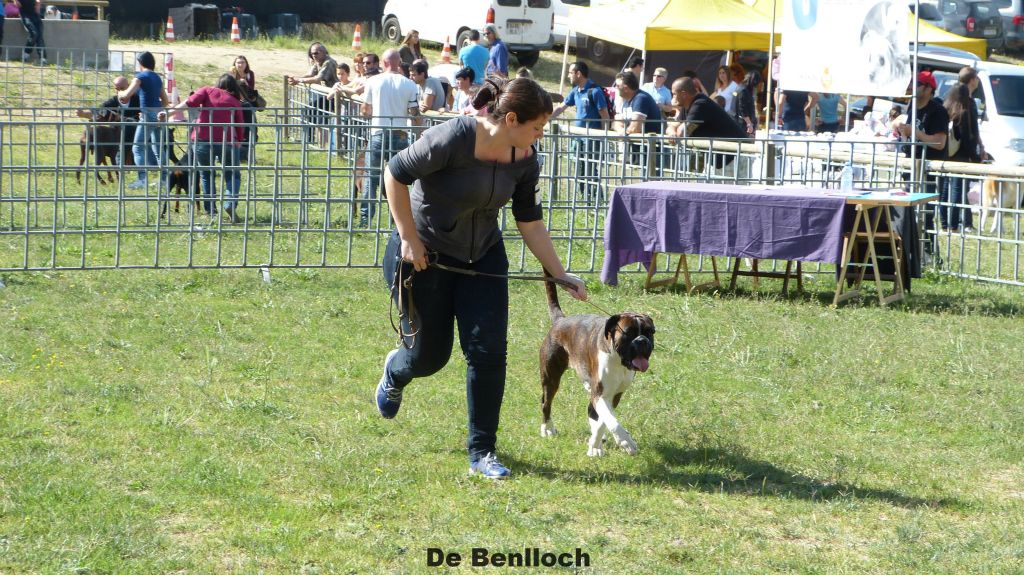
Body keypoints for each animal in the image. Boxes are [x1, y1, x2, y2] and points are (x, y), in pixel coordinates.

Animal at [539, 272, 655, 457]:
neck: (619, 362)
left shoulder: (613, 395)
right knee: (546, 402)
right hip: (551, 378)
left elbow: (603, 420)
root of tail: (560, 321)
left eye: (650, 332)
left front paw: (595, 444)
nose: (642, 340)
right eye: (628, 333)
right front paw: (624, 442)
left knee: (591, 411)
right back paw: (547, 428)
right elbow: (611, 421)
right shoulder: (600, 393)